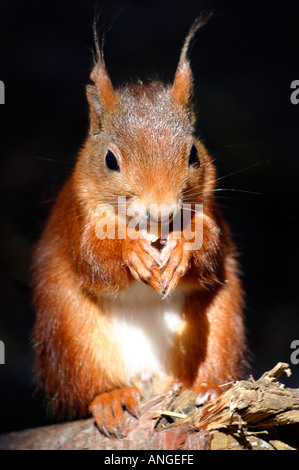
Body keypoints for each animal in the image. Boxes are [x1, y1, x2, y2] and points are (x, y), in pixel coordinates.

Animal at [32, 17, 248, 436]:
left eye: (194, 153)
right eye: (110, 159)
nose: (161, 212)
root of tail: (150, 379)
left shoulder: (211, 214)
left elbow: (210, 248)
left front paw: (184, 250)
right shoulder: (77, 219)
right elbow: (92, 258)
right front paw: (130, 252)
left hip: (222, 322)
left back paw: (206, 389)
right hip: (72, 333)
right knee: (89, 386)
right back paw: (112, 398)